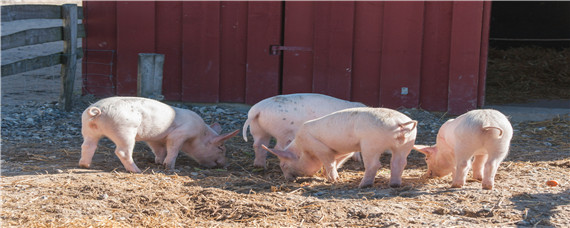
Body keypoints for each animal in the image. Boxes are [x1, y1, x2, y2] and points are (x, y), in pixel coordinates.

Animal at [78, 96, 237, 173]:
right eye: (221, 147)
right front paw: (170, 168)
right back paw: (137, 171)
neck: (199, 134)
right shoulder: (179, 134)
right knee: (122, 151)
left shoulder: (155, 139)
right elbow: (173, 149)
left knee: (87, 146)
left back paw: (85, 165)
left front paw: (159, 162)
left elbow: (160, 151)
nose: (226, 164)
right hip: (125, 131)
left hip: (88, 129)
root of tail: (98, 111)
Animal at [260, 108, 414, 188]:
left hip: (370, 144)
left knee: (374, 164)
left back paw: (363, 185)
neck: (303, 148)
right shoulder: (344, 151)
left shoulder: (320, 147)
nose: (288, 179)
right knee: (399, 163)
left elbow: (329, 162)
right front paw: (327, 176)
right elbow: (336, 162)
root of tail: (399, 123)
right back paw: (394, 185)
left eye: (284, 165)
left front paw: (332, 180)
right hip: (406, 144)